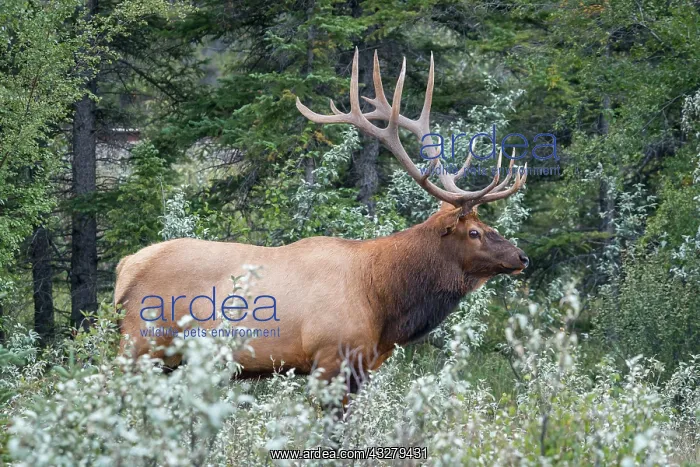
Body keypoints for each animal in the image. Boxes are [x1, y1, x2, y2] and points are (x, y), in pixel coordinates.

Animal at [115, 48, 529, 399]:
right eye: (474, 232)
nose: (521, 256)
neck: (384, 300)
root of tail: (126, 268)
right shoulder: (331, 357)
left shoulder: (362, 367)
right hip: (141, 344)